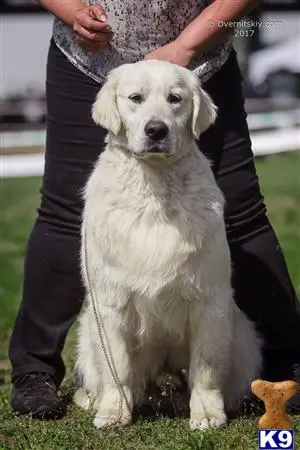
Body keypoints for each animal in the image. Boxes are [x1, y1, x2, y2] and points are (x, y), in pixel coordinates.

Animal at [74, 59, 262, 428]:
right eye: (135, 98)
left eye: (175, 99)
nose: (156, 130)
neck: (156, 190)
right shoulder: (110, 303)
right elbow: (117, 367)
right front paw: (114, 412)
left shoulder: (209, 300)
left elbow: (205, 368)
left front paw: (207, 413)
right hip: (87, 331)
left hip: (243, 334)